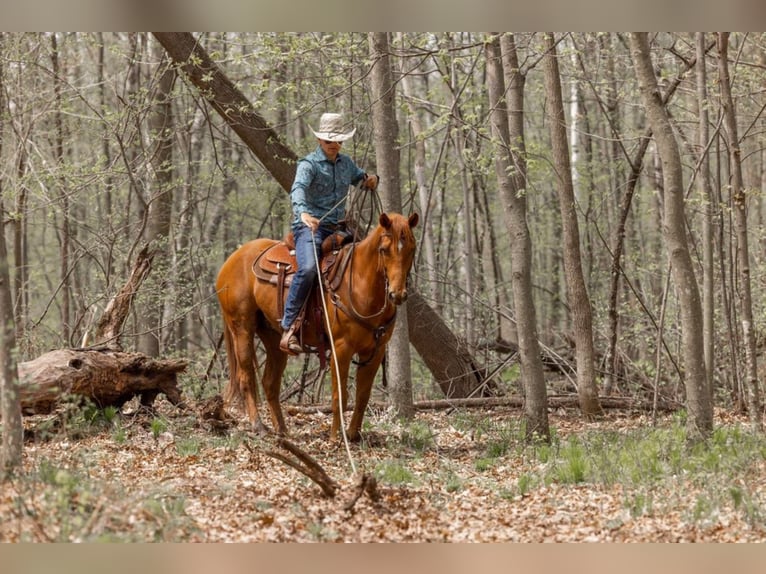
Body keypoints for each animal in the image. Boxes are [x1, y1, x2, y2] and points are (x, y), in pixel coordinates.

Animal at [216, 212, 420, 440]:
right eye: (384, 250)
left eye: (412, 248)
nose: (397, 294)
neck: (359, 285)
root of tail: (232, 259)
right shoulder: (341, 349)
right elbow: (339, 396)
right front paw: (335, 438)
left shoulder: (375, 351)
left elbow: (362, 395)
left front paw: (353, 435)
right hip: (241, 329)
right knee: (246, 378)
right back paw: (258, 425)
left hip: (273, 338)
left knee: (270, 383)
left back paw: (282, 430)